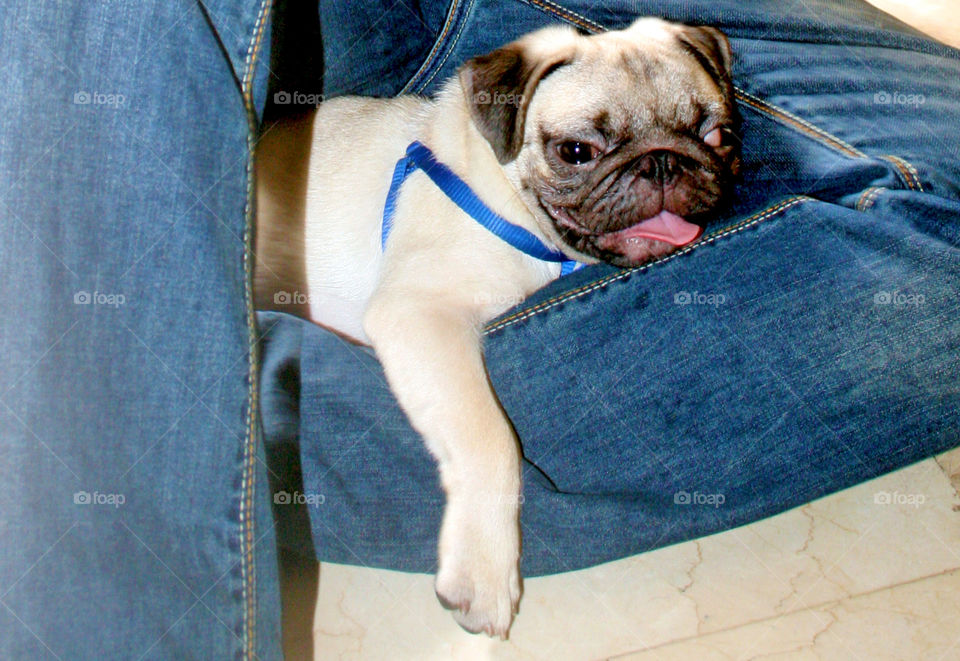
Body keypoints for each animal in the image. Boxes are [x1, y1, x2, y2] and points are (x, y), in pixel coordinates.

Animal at [253, 16, 736, 640]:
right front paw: (483, 571)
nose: (663, 162)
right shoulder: (420, 312)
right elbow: (492, 441)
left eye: (718, 135)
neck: (502, 192)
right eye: (576, 152)